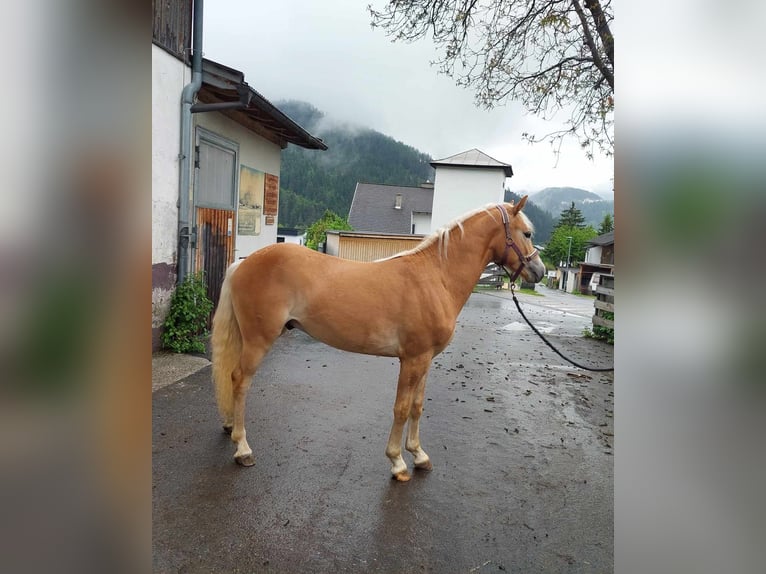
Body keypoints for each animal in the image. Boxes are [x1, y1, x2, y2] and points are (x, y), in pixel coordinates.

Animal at [210, 197, 544, 482]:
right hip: (258, 341)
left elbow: (417, 406)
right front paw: (397, 463)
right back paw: (243, 449)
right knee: (240, 381)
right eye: (527, 233)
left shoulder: (425, 359)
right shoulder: (411, 359)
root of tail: (243, 263)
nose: (539, 271)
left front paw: (419, 455)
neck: (436, 278)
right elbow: (401, 408)